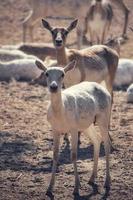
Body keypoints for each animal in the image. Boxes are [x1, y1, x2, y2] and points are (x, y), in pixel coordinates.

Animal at [35, 59, 111, 195]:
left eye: (62, 74)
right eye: (46, 73)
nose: (53, 87)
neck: (61, 115)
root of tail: (104, 89)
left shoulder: (73, 129)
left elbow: (74, 155)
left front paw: (76, 188)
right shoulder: (55, 129)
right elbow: (55, 155)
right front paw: (49, 188)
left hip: (103, 118)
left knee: (106, 143)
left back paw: (107, 182)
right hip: (87, 124)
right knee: (97, 139)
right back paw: (92, 179)